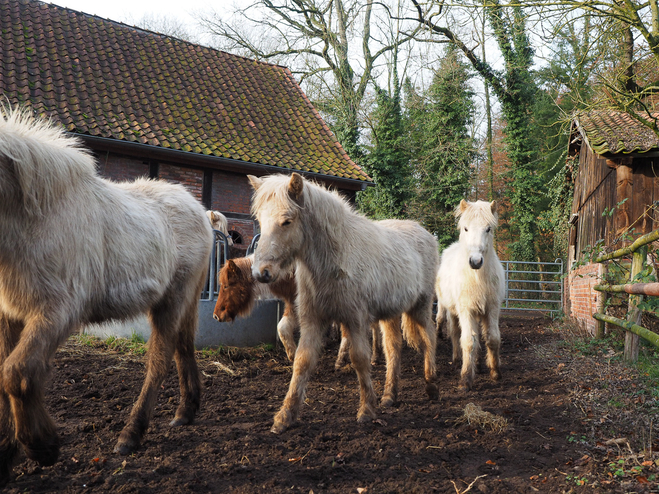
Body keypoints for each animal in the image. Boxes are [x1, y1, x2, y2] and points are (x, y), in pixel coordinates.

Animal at [0, 105, 213, 486]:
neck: (34, 217)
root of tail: (200, 211)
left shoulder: (56, 312)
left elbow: (18, 374)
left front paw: (44, 447)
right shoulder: (10, 314)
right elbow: (5, 379)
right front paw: (6, 457)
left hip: (171, 301)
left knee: (160, 359)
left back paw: (131, 434)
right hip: (183, 301)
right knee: (184, 346)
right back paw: (186, 410)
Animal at [248, 173, 438, 432]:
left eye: (286, 221)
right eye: (259, 220)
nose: (261, 272)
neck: (336, 258)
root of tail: (426, 233)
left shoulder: (355, 320)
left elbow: (360, 360)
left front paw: (366, 410)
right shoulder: (312, 320)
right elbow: (302, 361)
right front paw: (284, 417)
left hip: (421, 306)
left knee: (429, 337)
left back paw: (431, 385)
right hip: (390, 314)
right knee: (393, 348)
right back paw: (389, 396)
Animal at [438, 199, 506, 392]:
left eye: (488, 229)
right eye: (466, 228)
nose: (475, 262)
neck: (477, 277)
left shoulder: (491, 309)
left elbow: (492, 338)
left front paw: (495, 372)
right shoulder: (466, 310)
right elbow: (468, 341)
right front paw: (466, 379)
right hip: (452, 311)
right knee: (455, 332)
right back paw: (456, 360)